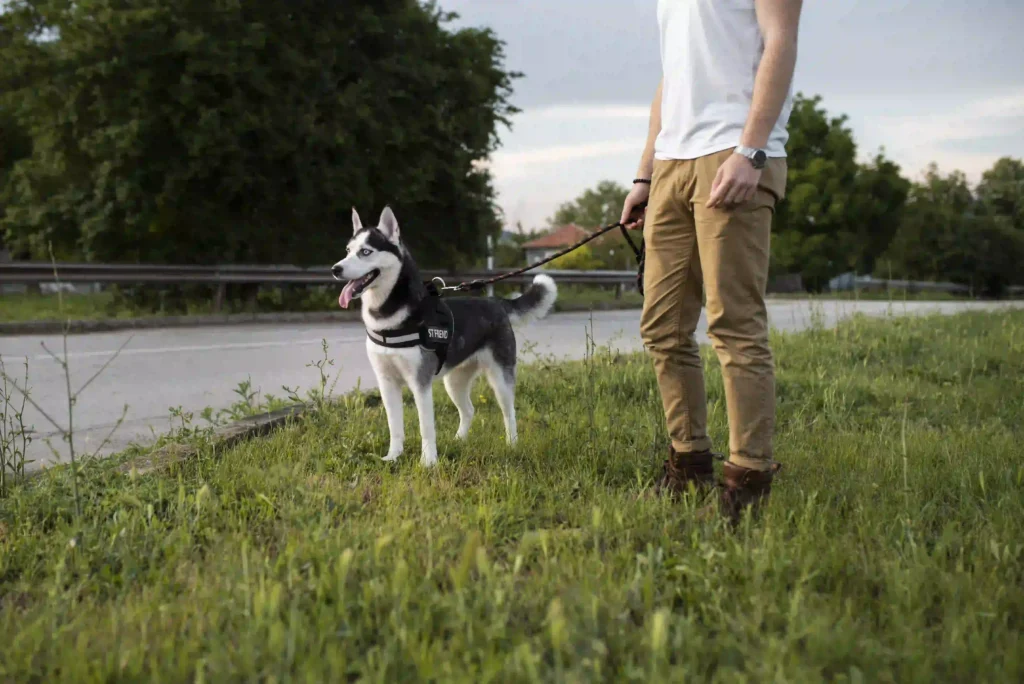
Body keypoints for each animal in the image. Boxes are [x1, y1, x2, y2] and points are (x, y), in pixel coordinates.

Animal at [333, 205, 561, 466]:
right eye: (348, 251)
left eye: (366, 251)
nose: (335, 269)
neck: (388, 315)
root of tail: (495, 302)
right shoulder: (386, 382)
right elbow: (394, 426)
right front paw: (393, 456)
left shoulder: (420, 382)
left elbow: (426, 427)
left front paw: (428, 462)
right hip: (454, 381)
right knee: (469, 410)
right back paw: (459, 440)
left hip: (500, 379)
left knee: (509, 412)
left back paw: (512, 444)